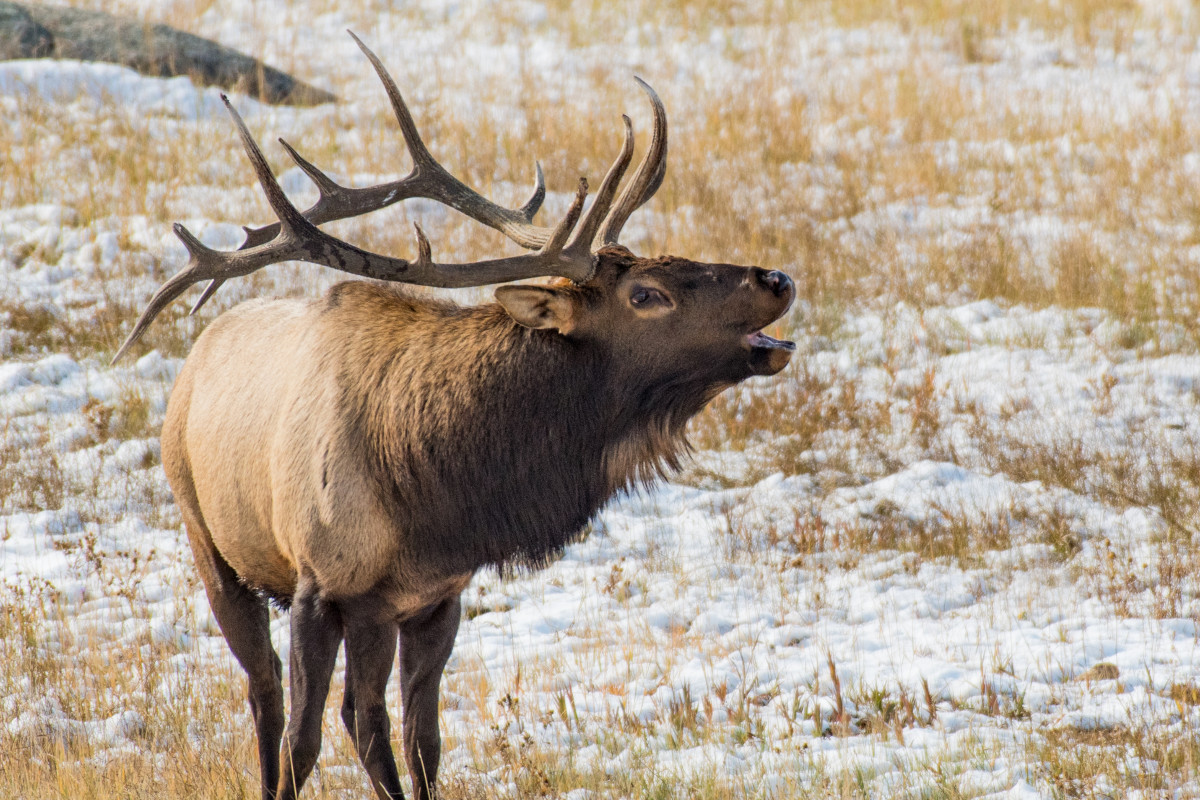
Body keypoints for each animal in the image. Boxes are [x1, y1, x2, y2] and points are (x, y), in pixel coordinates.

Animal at [114, 32, 796, 800]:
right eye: (647, 295)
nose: (777, 279)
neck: (435, 500)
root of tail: (196, 357)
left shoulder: (434, 597)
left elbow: (422, 740)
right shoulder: (322, 584)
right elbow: (307, 739)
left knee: (347, 713)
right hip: (214, 546)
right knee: (269, 698)